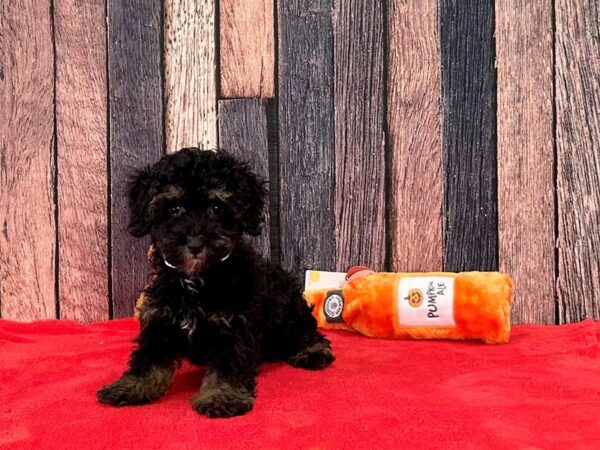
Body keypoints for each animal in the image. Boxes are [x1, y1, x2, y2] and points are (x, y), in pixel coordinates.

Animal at [96, 149, 336, 418]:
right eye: (175, 208)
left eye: (216, 208)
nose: (195, 243)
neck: (198, 280)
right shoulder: (161, 319)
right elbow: (149, 357)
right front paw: (130, 385)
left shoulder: (233, 325)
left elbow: (228, 363)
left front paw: (222, 396)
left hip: (290, 311)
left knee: (304, 331)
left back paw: (312, 351)